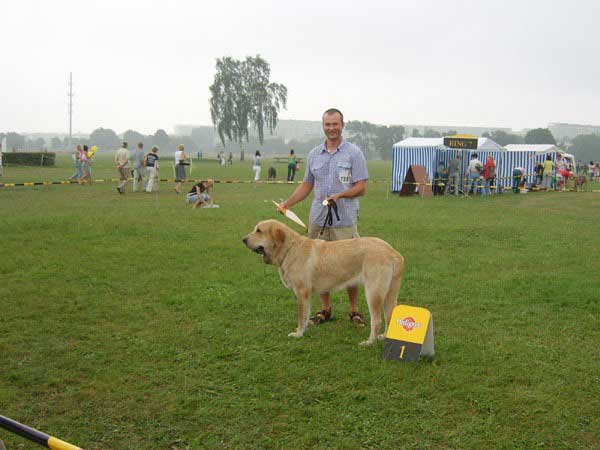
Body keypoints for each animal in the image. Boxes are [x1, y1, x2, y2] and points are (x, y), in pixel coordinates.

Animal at [241, 220, 406, 346]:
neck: (290, 249)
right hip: (389, 294)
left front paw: (298, 334)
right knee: (389, 317)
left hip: (373, 293)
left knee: (377, 321)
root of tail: (392, 252)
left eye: (259, 231)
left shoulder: (302, 293)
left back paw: (370, 342)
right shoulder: (306, 295)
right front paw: (305, 330)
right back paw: (383, 337)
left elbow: (301, 317)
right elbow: (306, 315)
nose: (243, 239)